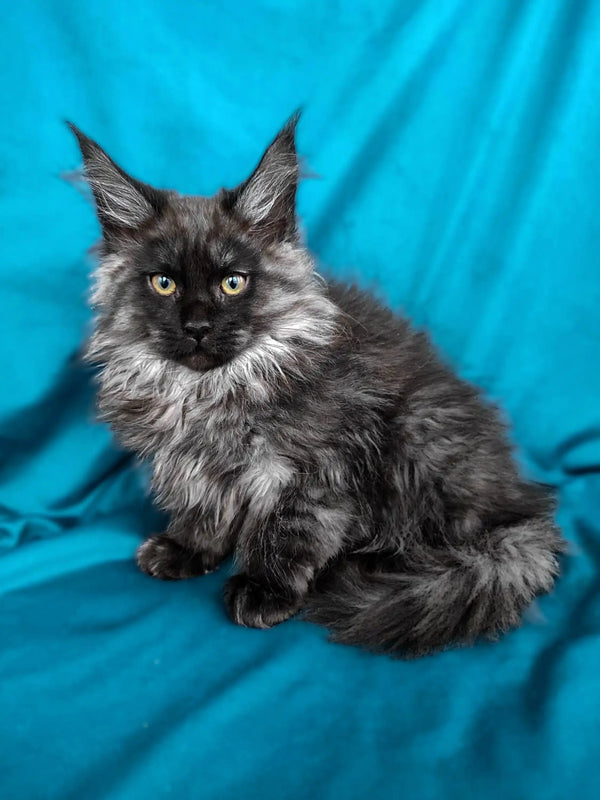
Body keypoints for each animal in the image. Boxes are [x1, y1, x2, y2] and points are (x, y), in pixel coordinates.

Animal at [69, 115, 564, 660]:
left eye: (233, 283)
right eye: (163, 283)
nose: (197, 326)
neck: (210, 391)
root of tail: (518, 506)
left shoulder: (316, 469)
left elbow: (289, 529)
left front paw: (265, 588)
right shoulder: (193, 465)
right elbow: (204, 506)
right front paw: (189, 548)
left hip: (419, 435)